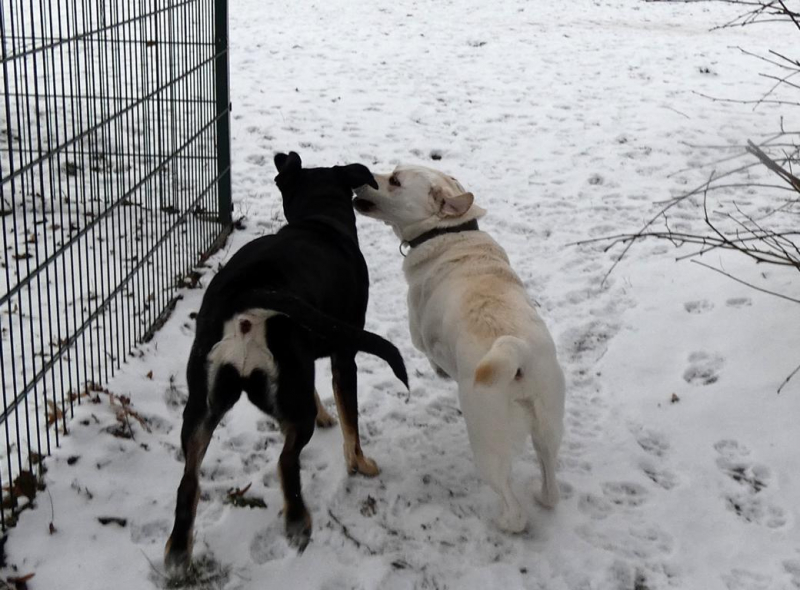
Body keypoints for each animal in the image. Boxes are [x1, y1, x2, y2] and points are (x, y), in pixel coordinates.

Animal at [164, 152, 409, 574]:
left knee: (188, 480)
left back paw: (179, 549)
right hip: (286, 395)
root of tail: (249, 296)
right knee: (285, 461)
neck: (319, 219)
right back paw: (298, 521)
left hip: (202, 404)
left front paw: (327, 415)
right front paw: (359, 463)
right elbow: (351, 422)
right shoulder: (345, 355)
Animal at [353, 164, 565, 532]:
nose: (360, 175)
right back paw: (542, 496)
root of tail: (519, 358)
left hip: (487, 441)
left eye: (394, 180)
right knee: (550, 483)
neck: (447, 231)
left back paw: (502, 522)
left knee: (513, 508)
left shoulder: (419, 334)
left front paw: (439, 369)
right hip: (548, 425)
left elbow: (430, 352)